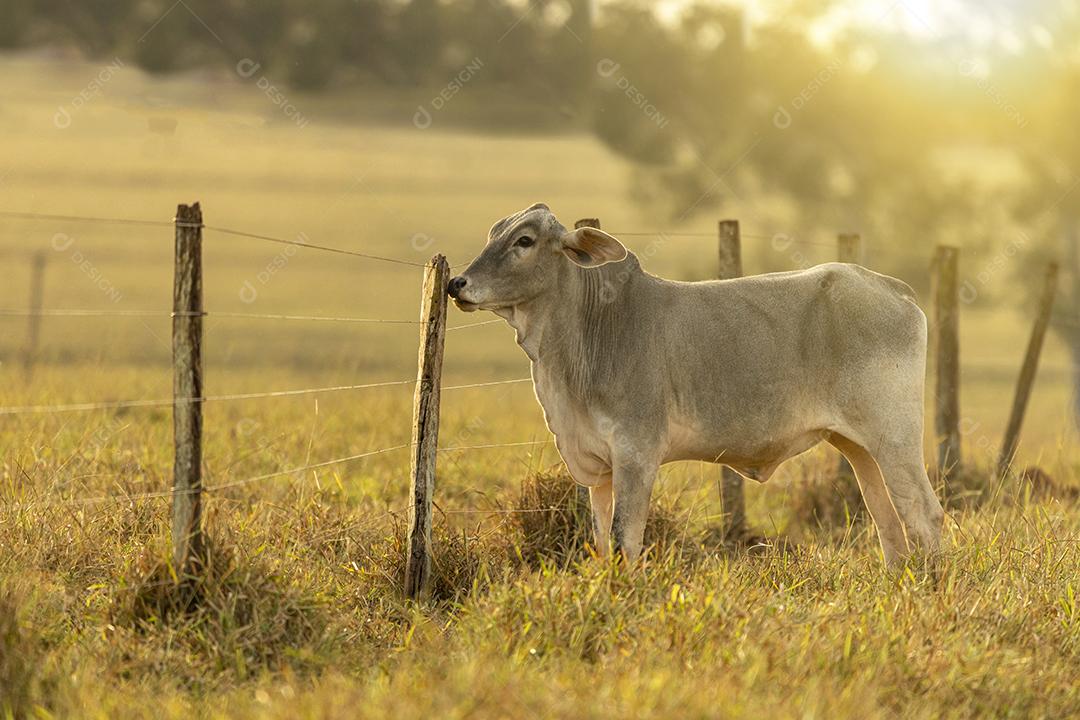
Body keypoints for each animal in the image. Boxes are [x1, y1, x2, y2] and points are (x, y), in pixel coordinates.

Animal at [447, 203, 944, 566]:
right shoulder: (598, 467)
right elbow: (602, 543)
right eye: (494, 233)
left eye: (524, 240)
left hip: (895, 438)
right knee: (889, 523)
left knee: (925, 514)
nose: (456, 283)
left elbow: (625, 541)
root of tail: (893, 287)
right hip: (858, 446)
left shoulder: (636, 454)